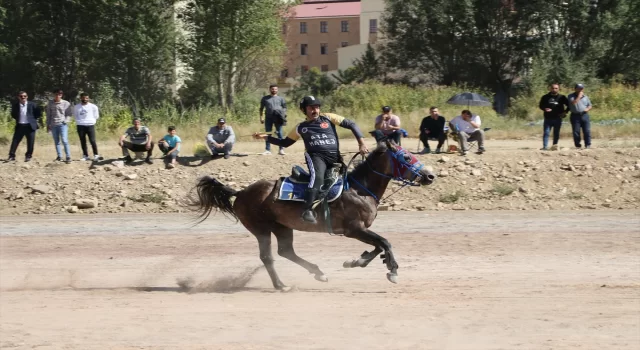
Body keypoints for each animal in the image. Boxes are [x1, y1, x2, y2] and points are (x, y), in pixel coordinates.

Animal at [192, 134, 438, 290]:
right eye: (406, 157)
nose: (430, 176)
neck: (359, 189)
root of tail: (241, 192)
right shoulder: (353, 229)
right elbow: (385, 242)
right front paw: (393, 270)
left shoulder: (360, 230)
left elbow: (378, 246)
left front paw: (357, 261)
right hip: (261, 229)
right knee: (268, 257)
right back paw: (281, 285)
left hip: (282, 227)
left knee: (286, 252)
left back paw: (318, 273)